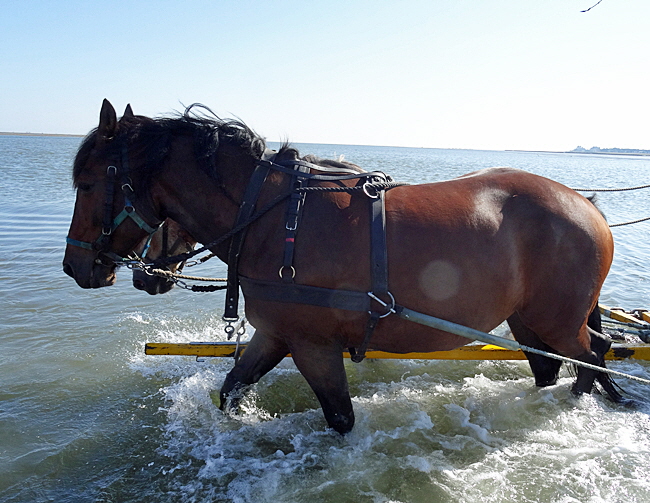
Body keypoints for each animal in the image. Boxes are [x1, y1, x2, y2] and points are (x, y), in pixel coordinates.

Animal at [66, 100, 616, 436]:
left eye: (89, 183)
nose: (75, 266)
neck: (272, 217)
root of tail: (587, 205)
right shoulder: (276, 335)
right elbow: (230, 392)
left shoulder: (314, 345)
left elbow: (340, 418)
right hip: (526, 320)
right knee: (553, 366)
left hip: (557, 321)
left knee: (593, 356)